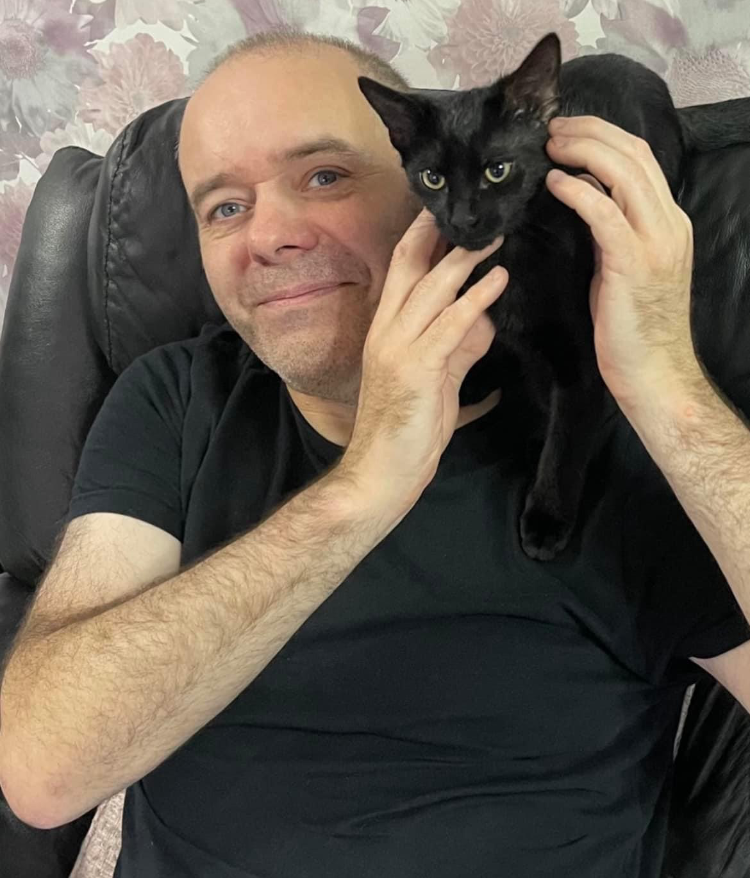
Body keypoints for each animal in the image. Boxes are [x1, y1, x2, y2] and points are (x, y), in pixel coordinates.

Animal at [358, 31, 750, 562]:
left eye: (497, 170)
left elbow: (564, 440)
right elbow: (498, 342)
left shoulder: (583, 364)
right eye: (432, 178)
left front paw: (546, 520)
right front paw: (479, 375)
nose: (462, 220)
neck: (513, 256)